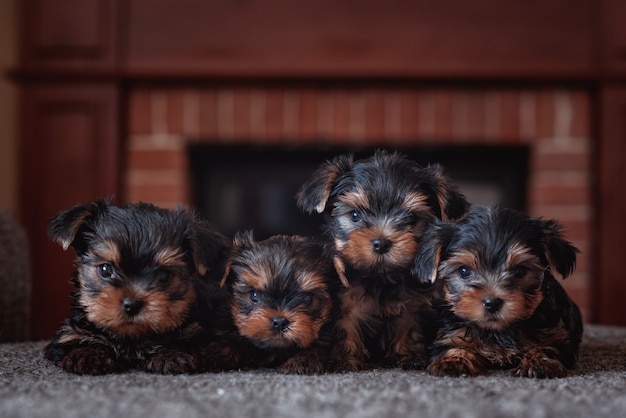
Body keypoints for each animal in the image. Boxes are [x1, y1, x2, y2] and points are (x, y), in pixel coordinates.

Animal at [43, 200, 232, 376]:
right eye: (105, 269)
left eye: (164, 276)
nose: (131, 304)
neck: (132, 338)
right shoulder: (69, 333)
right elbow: (73, 339)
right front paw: (87, 355)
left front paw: (170, 356)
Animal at [218, 232, 338, 376]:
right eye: (255, 295)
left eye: (308, 299)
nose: (280, 322)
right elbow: (228, 341)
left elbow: (318, 344)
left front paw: (302, 361)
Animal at [298, 150, 468, 372]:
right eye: (355, 215)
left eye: (411, 219)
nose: (381, 243)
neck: (381, 276)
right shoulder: (346, 303)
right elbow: (345, 328)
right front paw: (344, 359)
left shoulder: (413, 303)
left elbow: (408, 326)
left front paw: (406, 356)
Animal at [412, 206, 584, 378]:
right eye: (464, 271)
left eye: (520, 271)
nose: (492, 303)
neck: (498, 331)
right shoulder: (451, 334)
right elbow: (454, 345)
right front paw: (452, 362)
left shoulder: (555, 337)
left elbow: (546, 346)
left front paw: (539, 363)